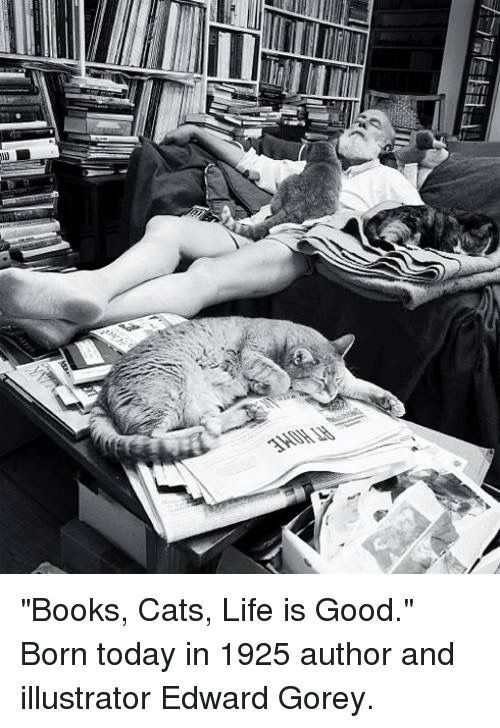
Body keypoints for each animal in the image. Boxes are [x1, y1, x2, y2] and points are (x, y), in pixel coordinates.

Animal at [90, 316, 404, 464]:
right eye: (319, 382)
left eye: (335, 382)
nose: (331, 397)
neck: (282, 339)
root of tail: (102, 392)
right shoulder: (251, 356)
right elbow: (283, 380)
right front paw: (262, 386)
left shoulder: (350, 382)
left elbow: (368, 387)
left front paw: (391, 402)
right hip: (173, 383)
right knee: (158, 435)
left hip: (199, 400)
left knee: (207, 421)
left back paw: (245, 413)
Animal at [364, 206, 500, 258]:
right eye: (466, 243)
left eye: (472, 254)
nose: (458, 253)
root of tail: (386, 211)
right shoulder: (446, 243)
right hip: (408, 223)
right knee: (386, 239)